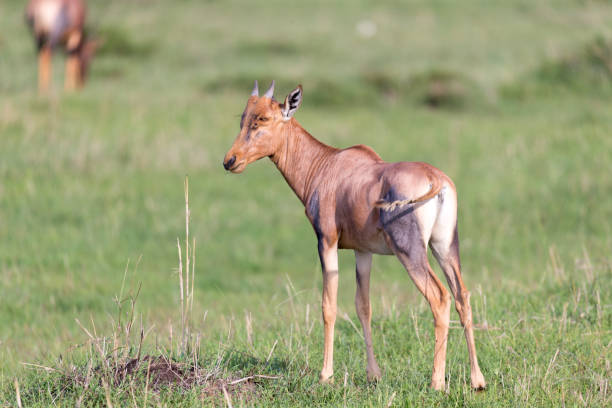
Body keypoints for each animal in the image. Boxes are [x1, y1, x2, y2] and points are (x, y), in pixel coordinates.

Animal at [222, 81, 486, 390]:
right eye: (243, 118)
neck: (327, 164)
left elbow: (329, 305)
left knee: (439, 297)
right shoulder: (363, 250)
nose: (230, 161)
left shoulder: (327, 240)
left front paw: (326, 375)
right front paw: (373, 374)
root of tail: (436, 180)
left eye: (263, 118)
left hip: (410, 251)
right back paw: (477, 379)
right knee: (462, 296)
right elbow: (363, 306)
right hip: (445, 245)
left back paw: (437, 382)